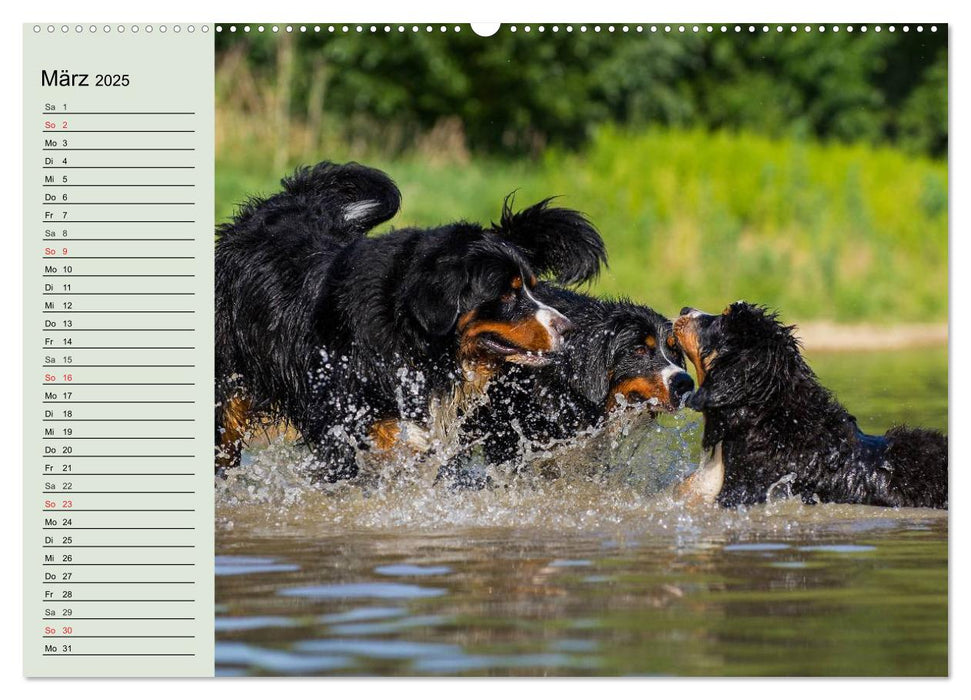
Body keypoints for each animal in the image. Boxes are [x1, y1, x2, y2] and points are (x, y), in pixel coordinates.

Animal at [215, 161, 604, 484]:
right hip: (231, 383)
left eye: (532, 288)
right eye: (507, 295)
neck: (410, 332)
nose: (567, 328)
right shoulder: (337, 409)